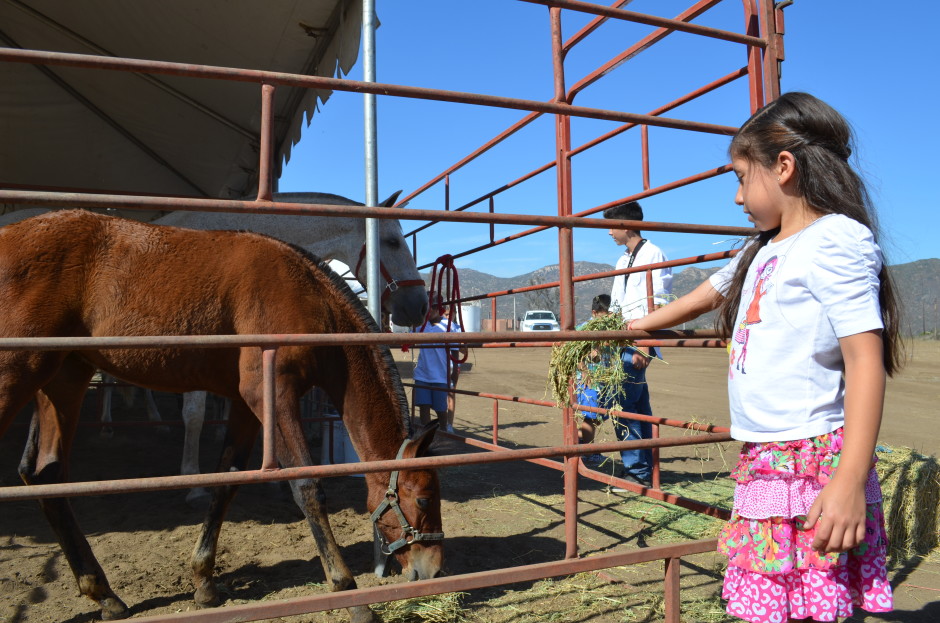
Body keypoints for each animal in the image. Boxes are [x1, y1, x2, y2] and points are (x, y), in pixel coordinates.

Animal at [0, 211, 442, 623]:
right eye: (422, 498)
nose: (433, 570)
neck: (305, 294)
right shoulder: (274, 396)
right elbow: (308, 487)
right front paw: (349, 595)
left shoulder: (246, 405)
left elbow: (226, 482)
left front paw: (204, 582)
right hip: (18, 373)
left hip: (63, 379)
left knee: (45, 475)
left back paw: (103, 593)